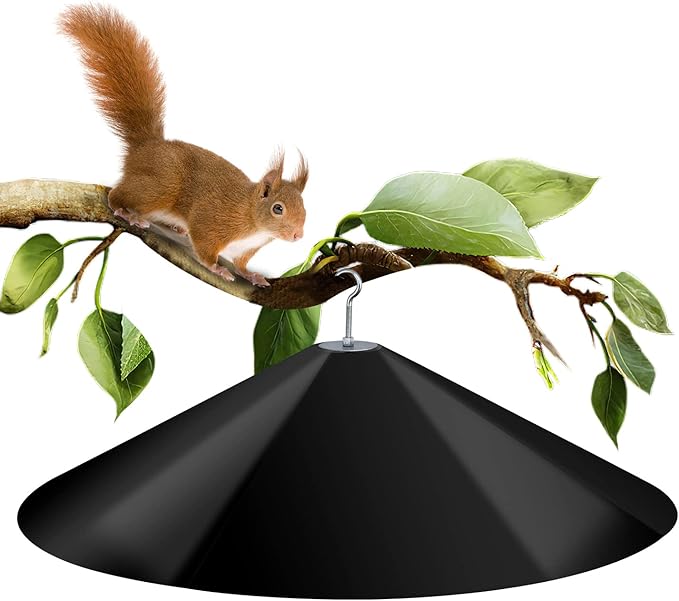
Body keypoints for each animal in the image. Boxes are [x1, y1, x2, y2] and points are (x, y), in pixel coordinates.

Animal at [58, 5, 307, 287]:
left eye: (304, 205)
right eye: (278, 208)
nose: (298, 235)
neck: (252, 218)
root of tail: (147, 146)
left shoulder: (245, 249)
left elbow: (242, 265)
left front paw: (252, 275)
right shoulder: (211, 221)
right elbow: (204, 246)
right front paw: (217, 268)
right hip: (159, 187)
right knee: (115, 195)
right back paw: (127, 212)